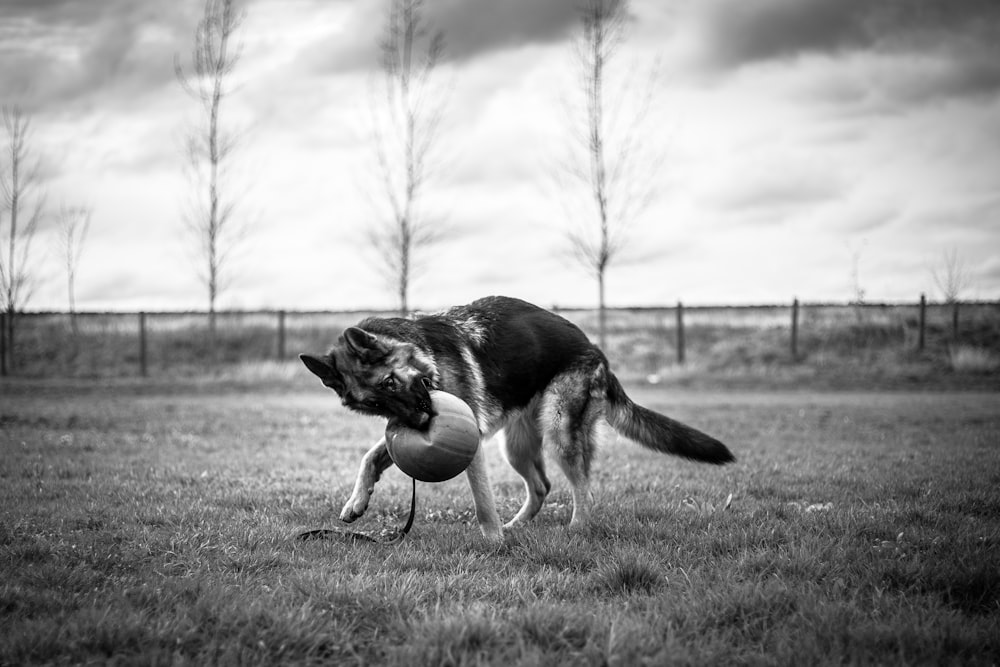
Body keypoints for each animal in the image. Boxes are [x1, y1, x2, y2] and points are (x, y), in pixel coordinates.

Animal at [298, 296, 736, 544]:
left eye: (391, 383)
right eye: (376, 404)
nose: (421, 424)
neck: (424, 356)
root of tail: (596, 351)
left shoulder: (470, 441)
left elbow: (482, 500)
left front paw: (492, 541)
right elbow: (370, 456)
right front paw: (356, 503)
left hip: (559, 432)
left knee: (583, 486)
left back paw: (575, 529)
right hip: (517, 445)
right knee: (542, 486)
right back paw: (517, 526)